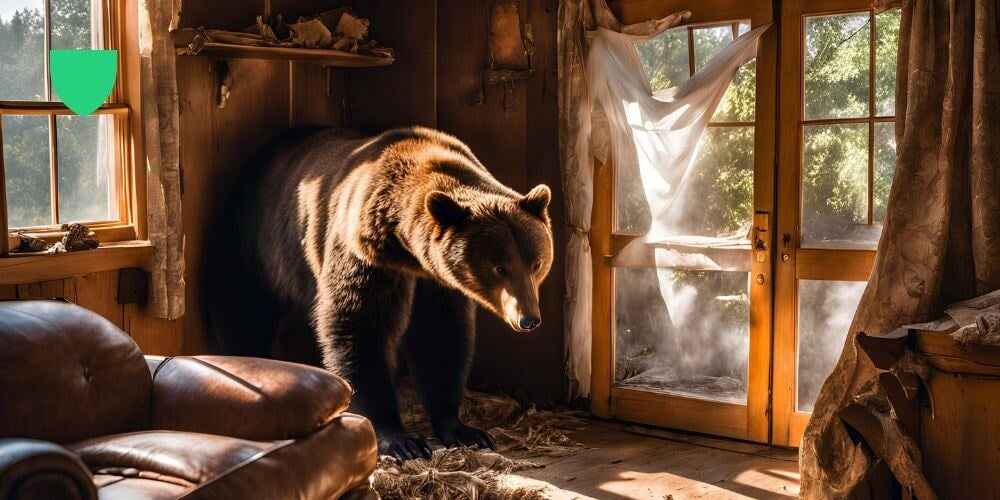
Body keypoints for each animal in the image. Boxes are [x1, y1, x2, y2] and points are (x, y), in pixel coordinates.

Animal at [203, 126, 554, 461]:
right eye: (500, 267)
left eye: (536, 263)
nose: (528, 319)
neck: (407, 252)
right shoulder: (365, 256)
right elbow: (361, 328)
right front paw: (400, 439)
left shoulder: (436, 282)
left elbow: (442, 338)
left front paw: (464, 429)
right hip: (257, 246)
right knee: (243, 309)